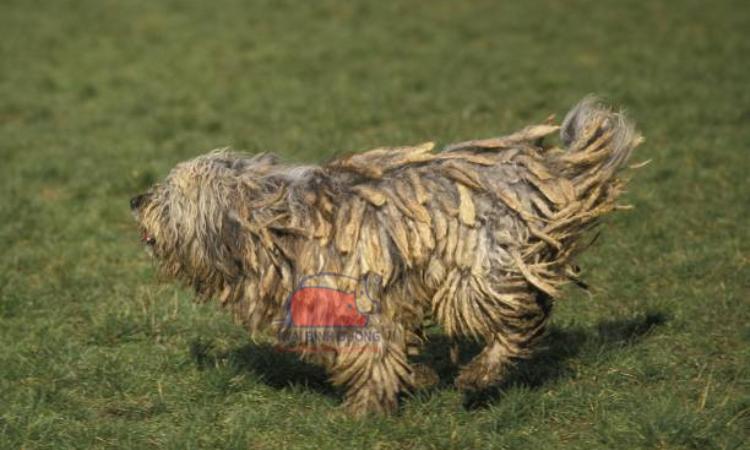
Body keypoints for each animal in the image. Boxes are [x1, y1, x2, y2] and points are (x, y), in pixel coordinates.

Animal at [132, 97, 644, 414]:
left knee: (520, 318)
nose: (136, 200)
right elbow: (380, 347)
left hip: (477, 272)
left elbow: (371, 350)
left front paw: (367, 407)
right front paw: (414, 378)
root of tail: (542, 170)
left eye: (170, 195)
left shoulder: (350, 295)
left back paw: (480, 373)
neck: (273, 225)